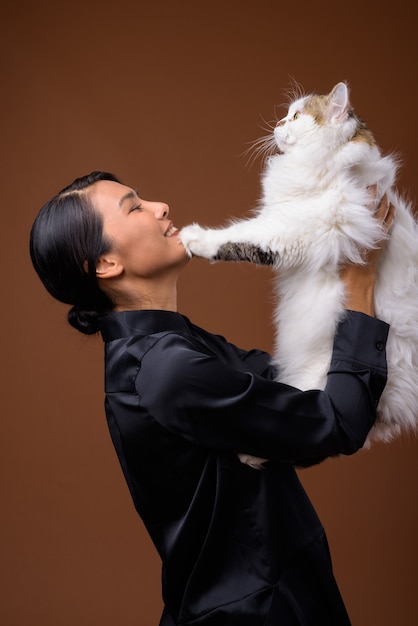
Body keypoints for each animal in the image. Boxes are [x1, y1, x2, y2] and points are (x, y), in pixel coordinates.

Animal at [180, 81, 418, 448]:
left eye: (296, 116)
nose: (278, 124)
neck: (334, 167)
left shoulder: (288, 230)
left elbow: (237, 237)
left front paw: (193, 238)